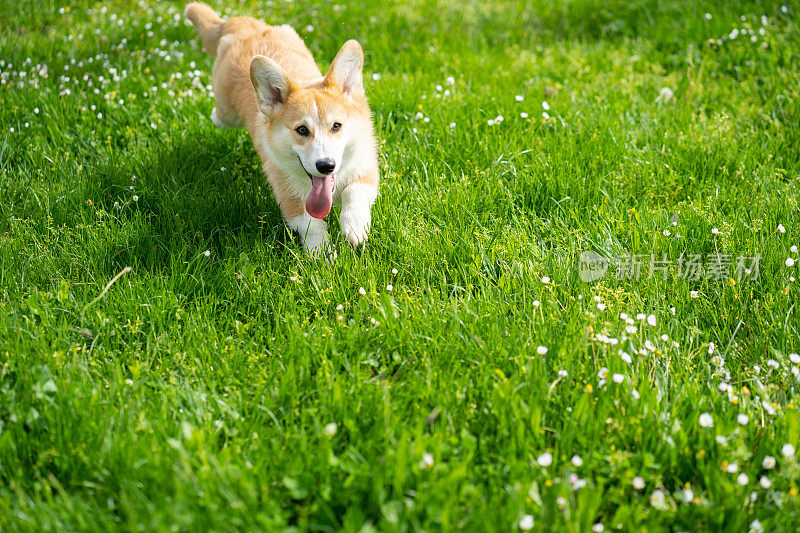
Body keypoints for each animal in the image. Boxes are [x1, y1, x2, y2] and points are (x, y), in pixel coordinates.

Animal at [186, 2, 380, 256]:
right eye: (302, 130)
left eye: (336, 126)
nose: (326, 166)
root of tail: (244, 24)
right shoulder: (290, 199)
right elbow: (311, 225)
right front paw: (322, 256)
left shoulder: (365, 170)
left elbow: (354, 192)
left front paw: (355, 228)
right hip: (227, 112)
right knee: (220, 116)